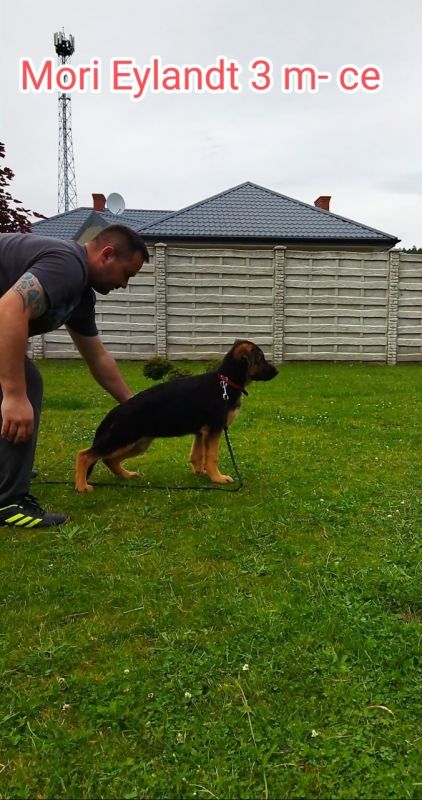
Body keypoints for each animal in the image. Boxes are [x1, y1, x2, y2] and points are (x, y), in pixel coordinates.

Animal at [75, 339, 278, 492]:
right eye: (260, 358)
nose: (277, 372)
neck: (226, 382)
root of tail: (115, 411)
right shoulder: (215, 429)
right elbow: (212, 456)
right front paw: (217, 478)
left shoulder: (201, 432)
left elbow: (198, 454)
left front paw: (201, 473)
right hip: (122, 438)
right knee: (85, 455)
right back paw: (82, 486)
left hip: (137, 443)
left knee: (108, 459)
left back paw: (126, 475)